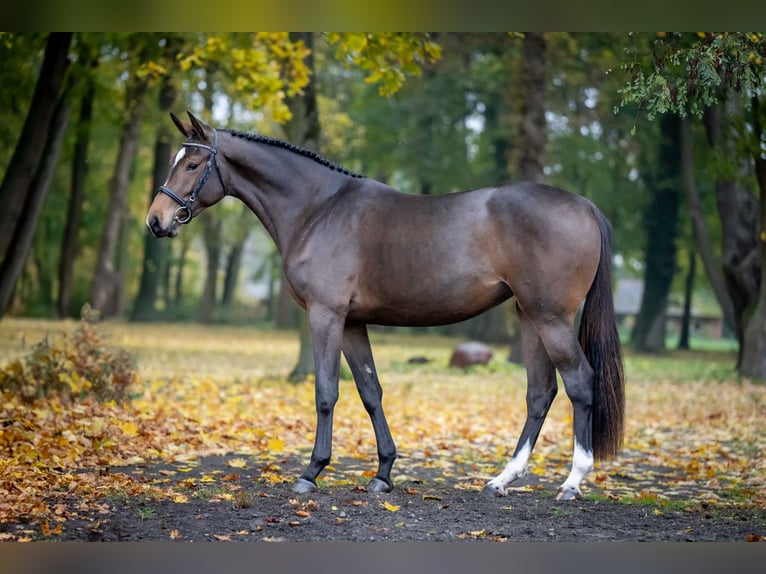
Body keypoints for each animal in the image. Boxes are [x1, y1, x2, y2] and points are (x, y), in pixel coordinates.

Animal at [146, 112, 625, 501]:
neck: (319, 208)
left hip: (551, 318)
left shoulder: (326, 315)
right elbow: (370, 392)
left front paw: (311, 472)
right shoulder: (353, 323)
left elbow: (326, 392)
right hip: (530, 316)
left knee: (580, 382)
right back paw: (502, 480)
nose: (155, 220)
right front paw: (383, 474)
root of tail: (584, 205)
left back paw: (571, 482)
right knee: (540, 392)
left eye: (192, 164)